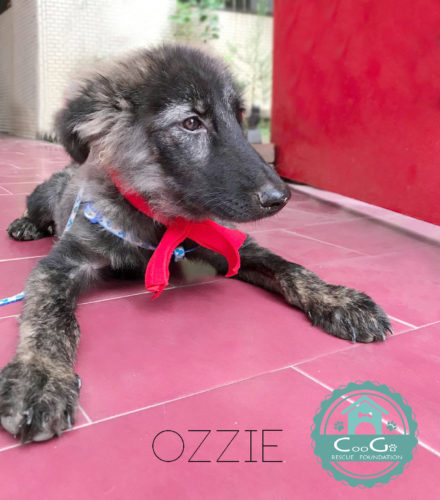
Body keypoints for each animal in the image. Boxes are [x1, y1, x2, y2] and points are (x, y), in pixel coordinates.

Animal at [1, 45, 391, 442]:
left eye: (238, 116)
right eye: (191, 123)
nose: (281, 197)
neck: (160, 219)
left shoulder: (232, 244)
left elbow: (289, 267)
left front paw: (336, 298)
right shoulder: (64, 263)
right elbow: (50, 318)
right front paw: (40, 377)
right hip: (43, 195)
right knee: (36, 210)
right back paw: (25, 225)